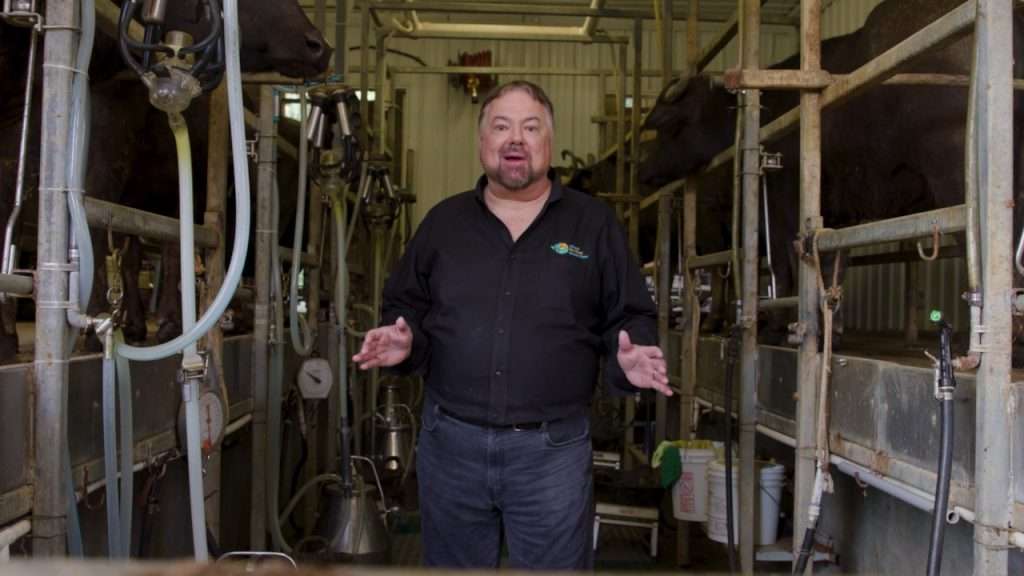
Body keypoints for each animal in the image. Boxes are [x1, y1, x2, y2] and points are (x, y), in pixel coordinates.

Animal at [638, 0, 1024, 340]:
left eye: (669, 127)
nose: (645, 171)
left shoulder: (779, 206)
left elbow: (784, 264)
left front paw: (781, 325)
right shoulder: (837, 209)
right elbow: (833, 262)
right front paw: (828, 325)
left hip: (955, 174)